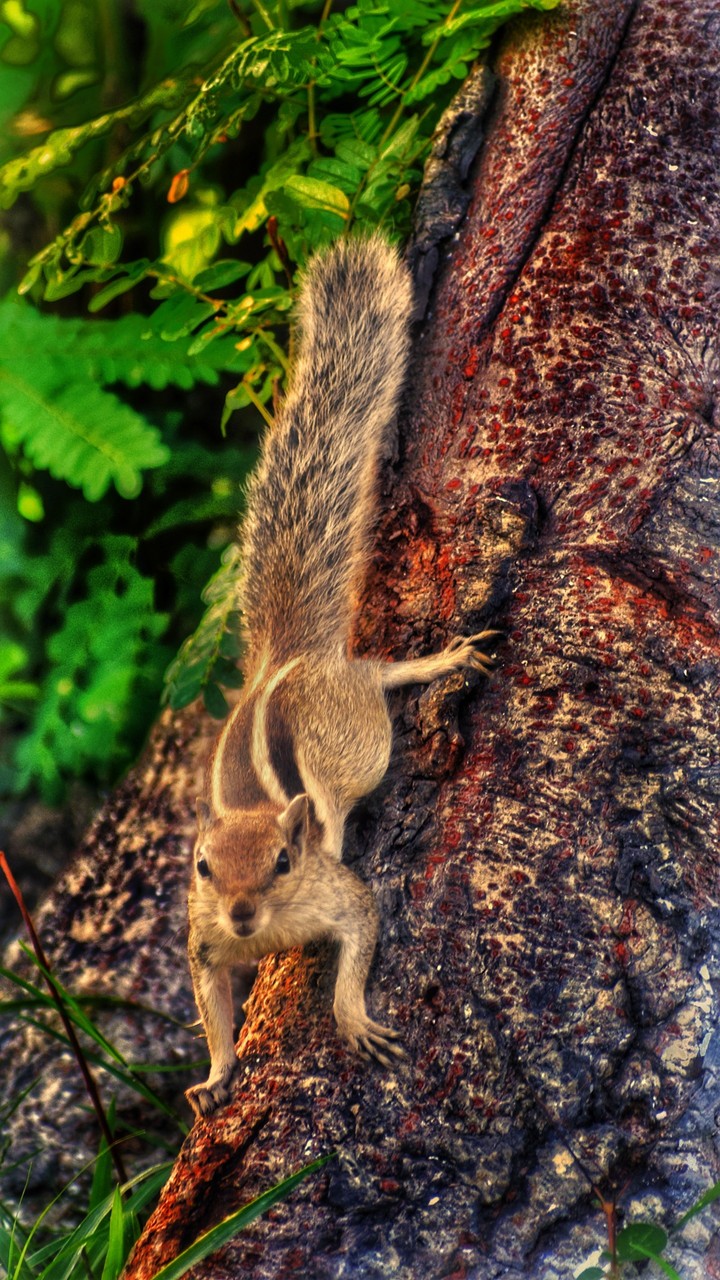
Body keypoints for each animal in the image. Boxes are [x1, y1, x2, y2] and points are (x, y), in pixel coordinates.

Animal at [185, 234, 495, 1118]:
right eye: (203, 869)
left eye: (284, 864)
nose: (243, 914)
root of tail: (286, 661)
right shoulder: (204, 941)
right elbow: (212, 1008)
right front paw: (216, 1076)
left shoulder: (339, 892)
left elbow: (361, 933)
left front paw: (353, 1018)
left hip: (356, 730)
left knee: (376, 674)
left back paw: (435, 661)